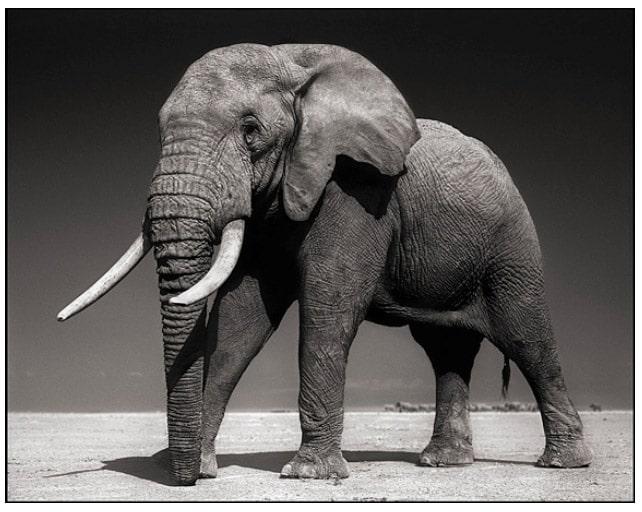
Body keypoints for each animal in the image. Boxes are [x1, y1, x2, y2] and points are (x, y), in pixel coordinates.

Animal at [58, 43, 592, 486]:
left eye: (251, 131)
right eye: (159, 132)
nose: (185, 481)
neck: (294, 67)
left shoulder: (356, 190)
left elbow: (327, 309)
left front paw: (309, 475)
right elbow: (239, 322)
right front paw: (203, 467)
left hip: (511, 243)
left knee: (526, 337)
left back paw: (563, 464)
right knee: (445, 350)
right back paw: (443, 462)